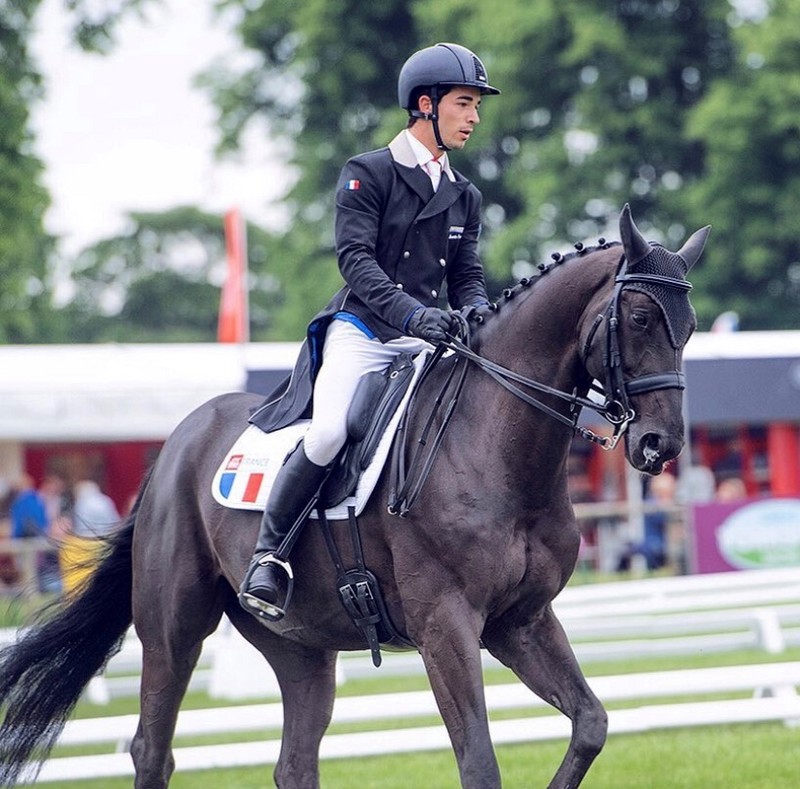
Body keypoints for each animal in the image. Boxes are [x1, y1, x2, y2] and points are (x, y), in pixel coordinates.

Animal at [3, 206, 708, 784]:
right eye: (640, 317)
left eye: (691, 326)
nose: (660, 445)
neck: (497, 450)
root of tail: (179, 440)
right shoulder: (446, 626)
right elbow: (480, 763)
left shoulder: (520, 622)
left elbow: (590, 724)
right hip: (173, 627)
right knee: (152, 748)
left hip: (301, 646)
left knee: (294, 762)